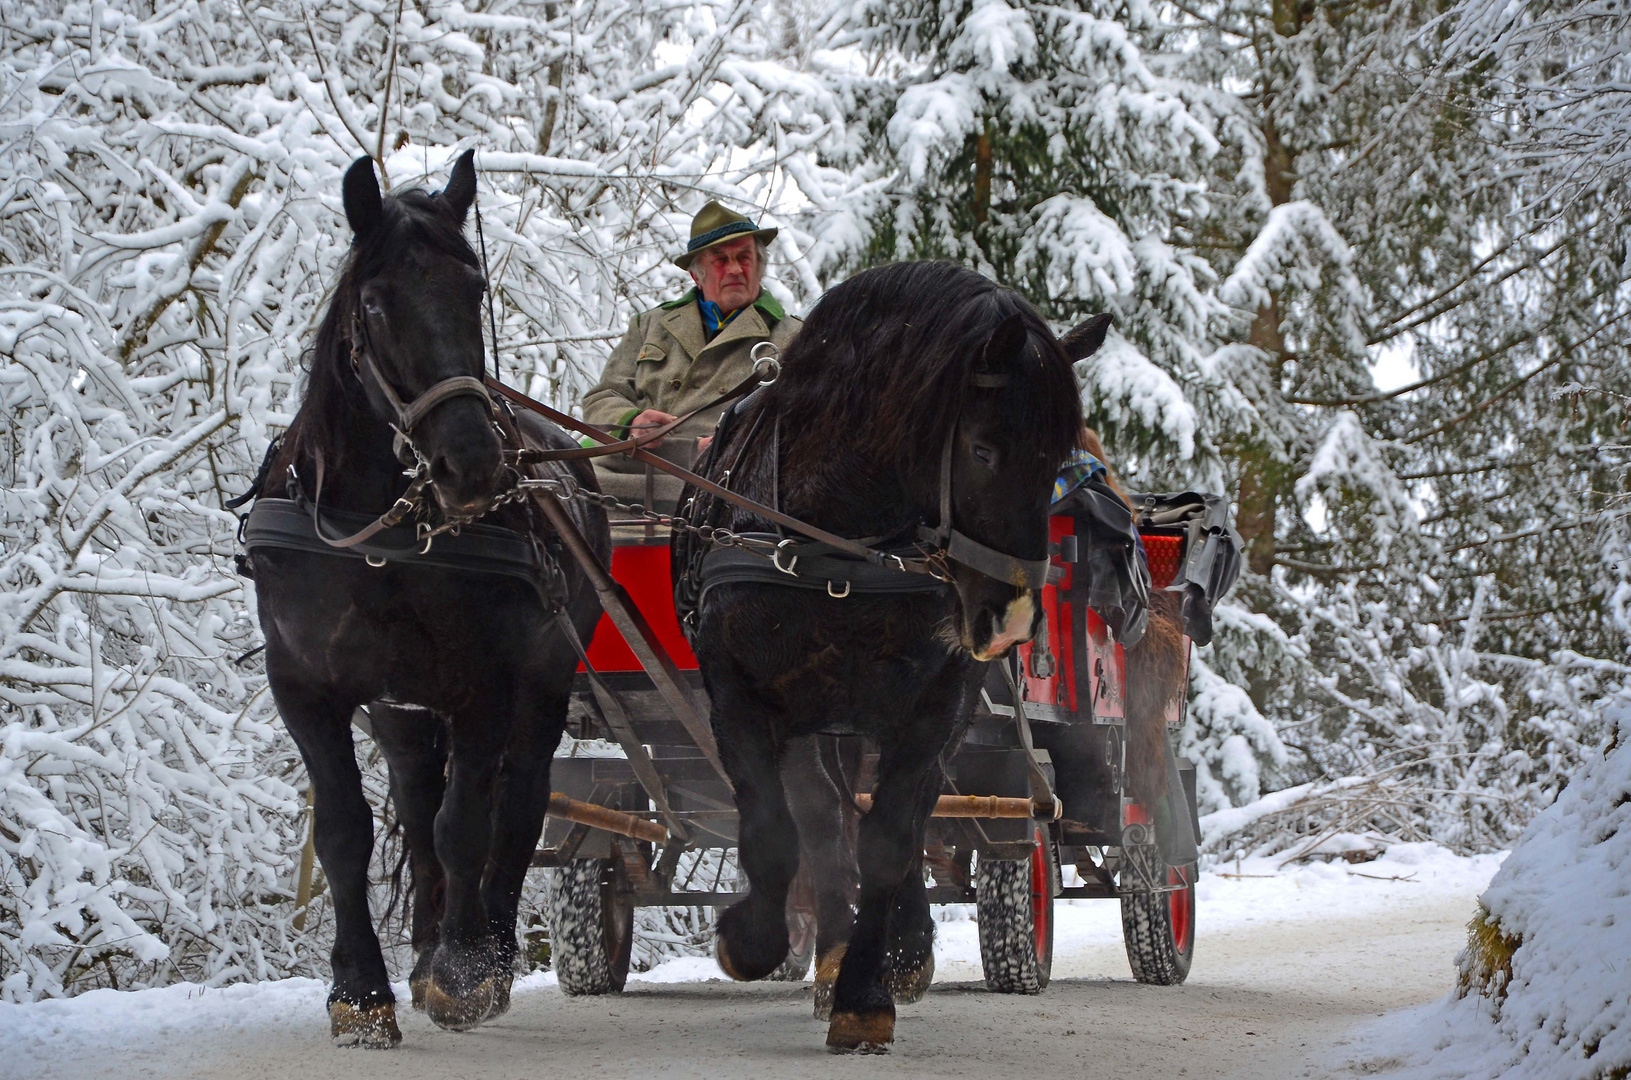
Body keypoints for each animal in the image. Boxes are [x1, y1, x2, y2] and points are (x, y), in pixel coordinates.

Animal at [247, 152, 613, 1050]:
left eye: (473, 289)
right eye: (376, 302)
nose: (471, 463)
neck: (378, 530)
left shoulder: (486, 683)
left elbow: (466, 825)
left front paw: (466, 972)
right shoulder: (304, 687)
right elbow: (347, 831)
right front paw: (361, 991)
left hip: (542, 685)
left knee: (515, 804)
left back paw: (490, 948)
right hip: (401, 707)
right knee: (416, 800)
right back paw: (423, 954)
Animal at [675, 261, 1096, 1050]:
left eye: (1059, 460)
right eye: (984, 450)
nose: (1014, 620)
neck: (840, 546)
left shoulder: (935, 706)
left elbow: (892, 840)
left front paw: (870, 988)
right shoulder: (740, 696)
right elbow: (778, 831)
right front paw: (754, 940)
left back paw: (897, 947)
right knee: (822, 824)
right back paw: (833, 948)